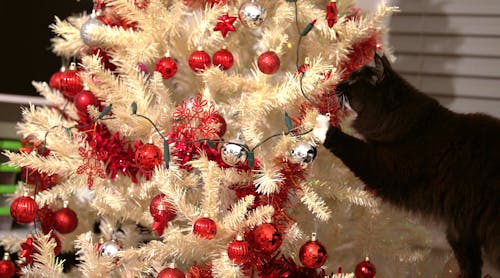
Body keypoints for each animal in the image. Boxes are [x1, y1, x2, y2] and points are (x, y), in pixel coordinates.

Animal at [314, 53, 498, 276]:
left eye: (352, 81)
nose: (336, 84)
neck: (417, 125)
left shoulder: (386, 168)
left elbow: (349, 143)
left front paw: (320, 123)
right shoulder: (460, 230)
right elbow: (470, 267)